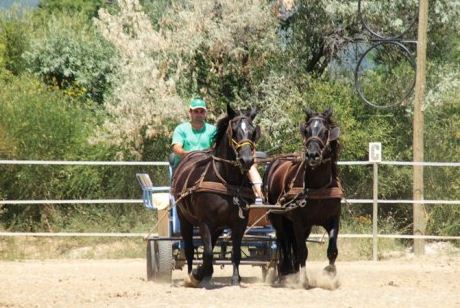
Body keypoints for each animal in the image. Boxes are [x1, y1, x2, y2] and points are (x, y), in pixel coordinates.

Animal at [172, 103, 258, 286]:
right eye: (234, 131)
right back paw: (192, 275)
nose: (246, 160)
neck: (227, 182)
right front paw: (197, 274)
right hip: (184, 219)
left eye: (253, 131)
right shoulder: (204, 222)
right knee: (189, 249)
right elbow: (208, 252)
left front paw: (235, 278)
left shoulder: (240, 223)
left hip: (218, 226)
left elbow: (235, 252)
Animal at [264, 107, 344, 288]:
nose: (312, 155)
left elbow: (332, 250)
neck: (318, 187)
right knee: (284, 242)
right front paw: (304, 280)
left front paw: (330, 274)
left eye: (325, 131)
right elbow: (302, 251)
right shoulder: (298, 221)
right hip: (278, 218)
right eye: (307, 131)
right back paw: (285, 272)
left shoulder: (333, 218)